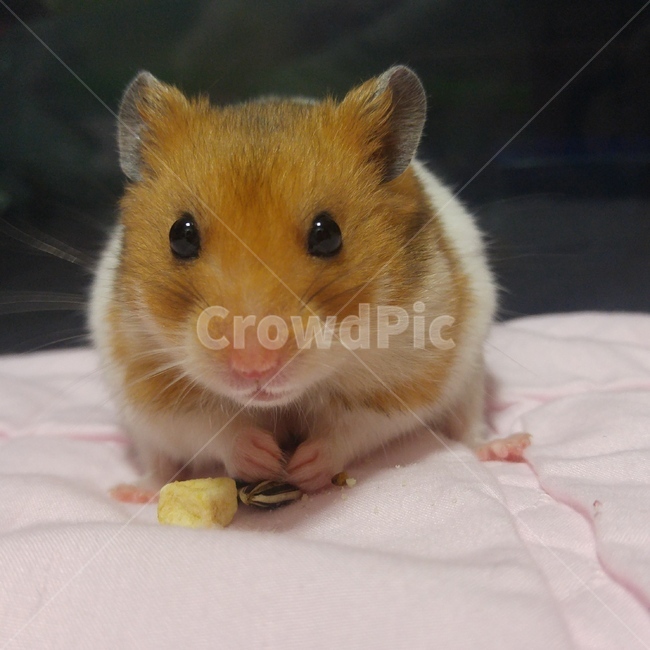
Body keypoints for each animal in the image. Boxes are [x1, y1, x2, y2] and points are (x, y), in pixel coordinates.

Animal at [90, 66, 526, 495]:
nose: (254, 368)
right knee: (159, 463)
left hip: (469, 374)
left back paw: (508, 447)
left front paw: (301, 468)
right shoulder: (145, 382)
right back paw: (131, 491)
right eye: (180, 236)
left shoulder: (413, 377)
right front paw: (265, 459)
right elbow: (209, 428)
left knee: (469, 425)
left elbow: (354, 428)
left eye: (327, 234)